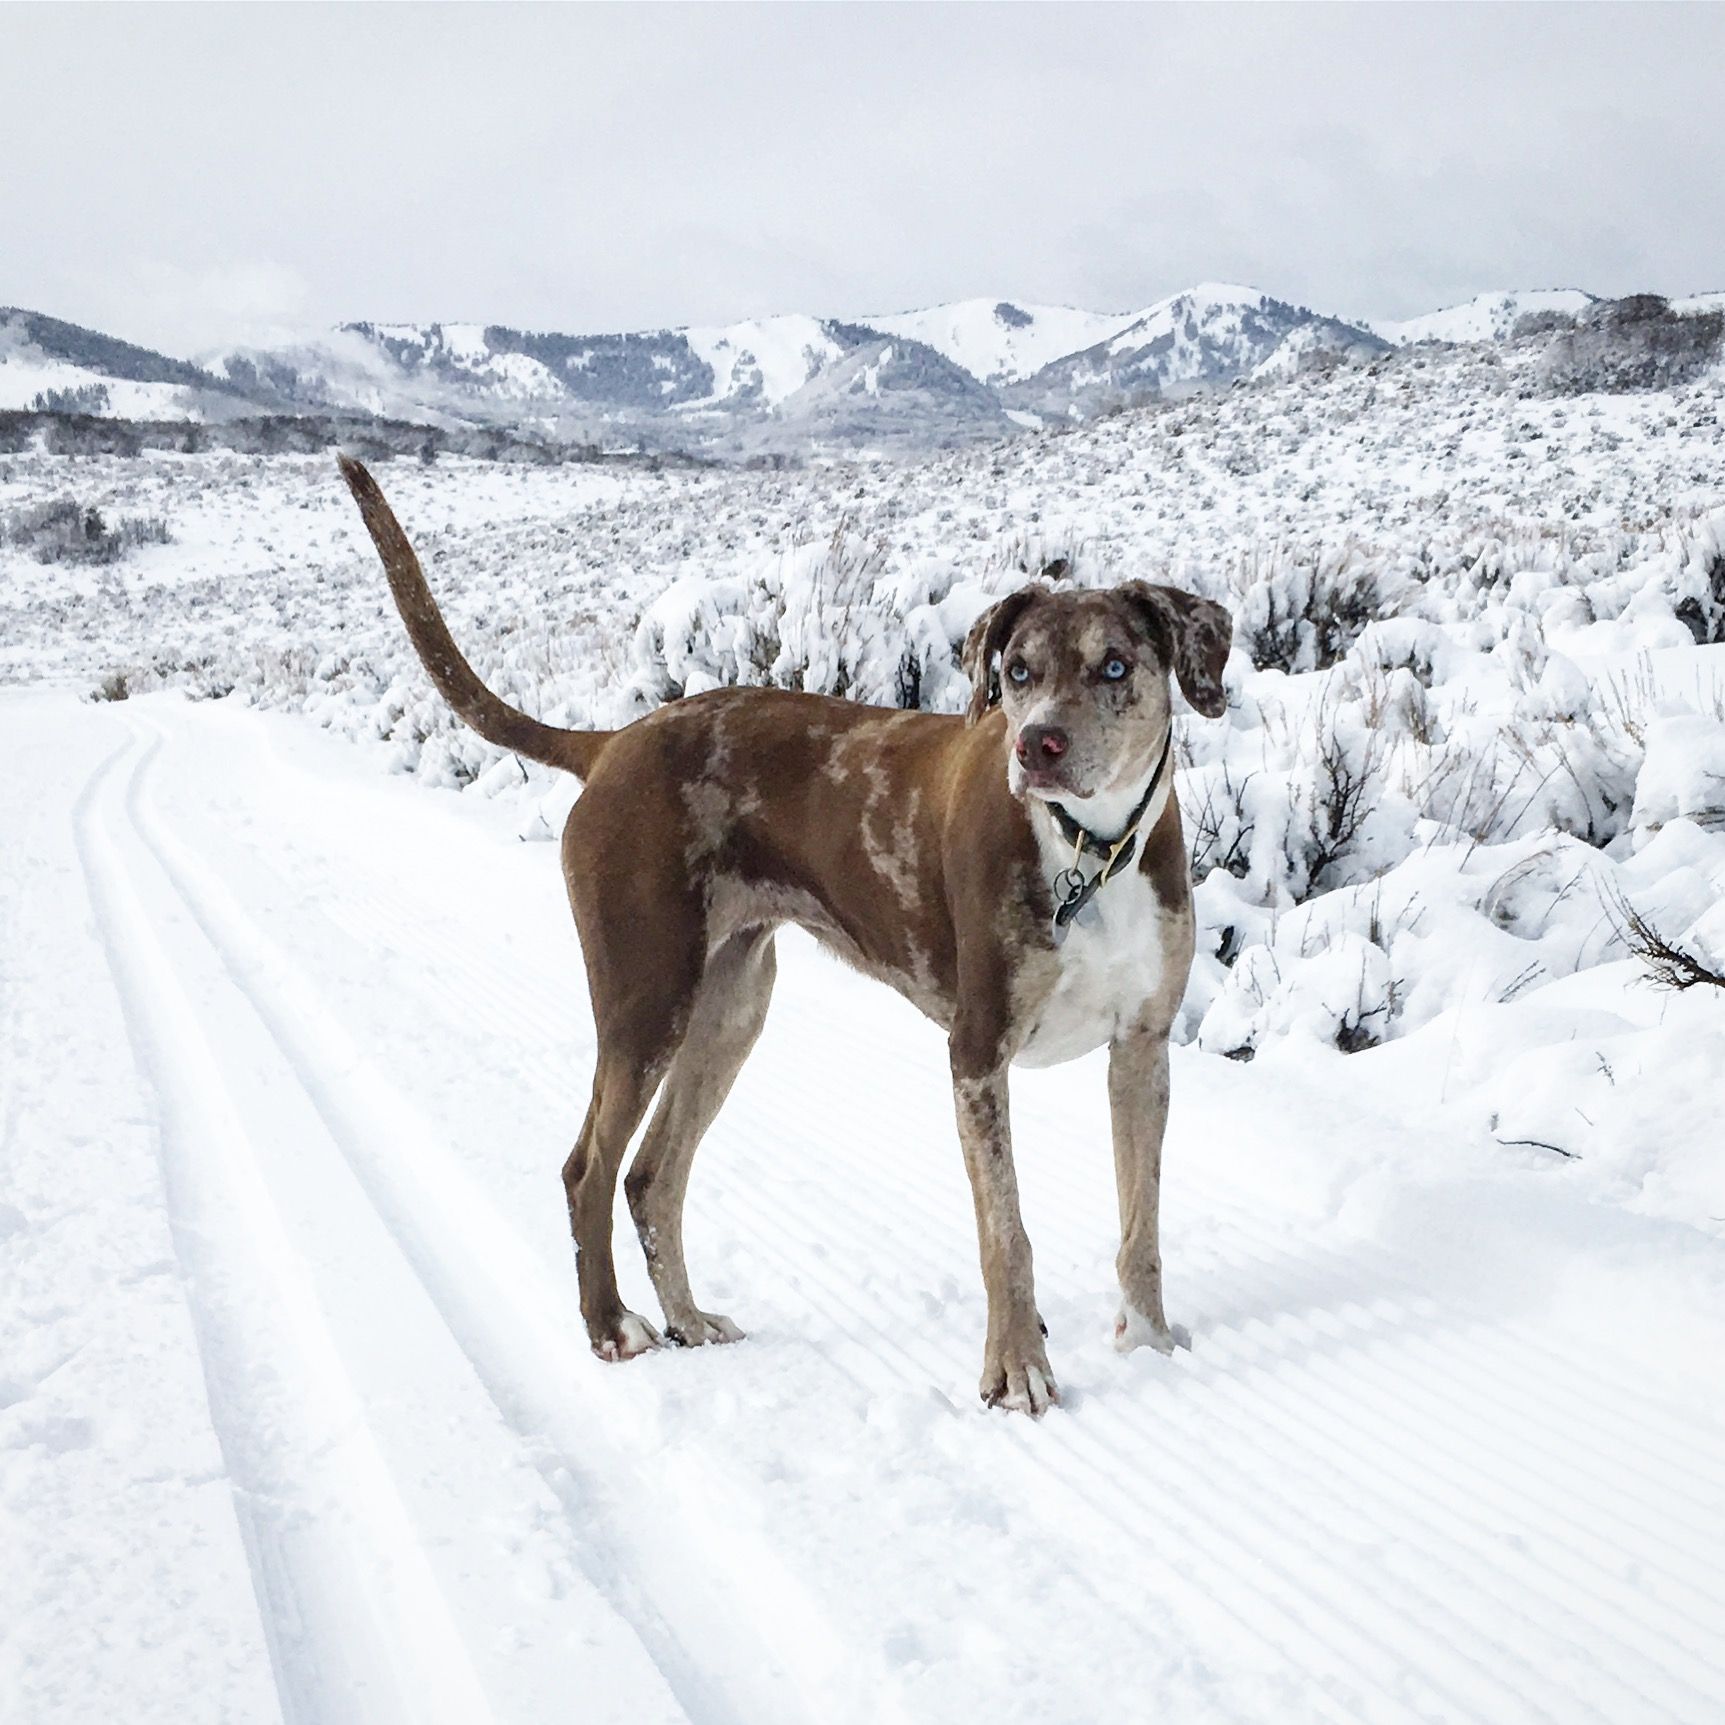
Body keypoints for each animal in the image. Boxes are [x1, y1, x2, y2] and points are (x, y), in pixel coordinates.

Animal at [336, 455, 1228, 1414]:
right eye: (1017, 670)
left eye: (1114, 665)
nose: (1036, 746)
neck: (1091, 853)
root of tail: (612, 744)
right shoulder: (976, 1052)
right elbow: (1007, 1233)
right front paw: (1016, 1368)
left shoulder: (1141, 1047)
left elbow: (1140, 1219)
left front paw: (1149, 1340)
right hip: (645, 994)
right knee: (590, 1166)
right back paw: (612, 1326)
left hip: (730, 1003)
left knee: (651, 1175)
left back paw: (689, 1318)